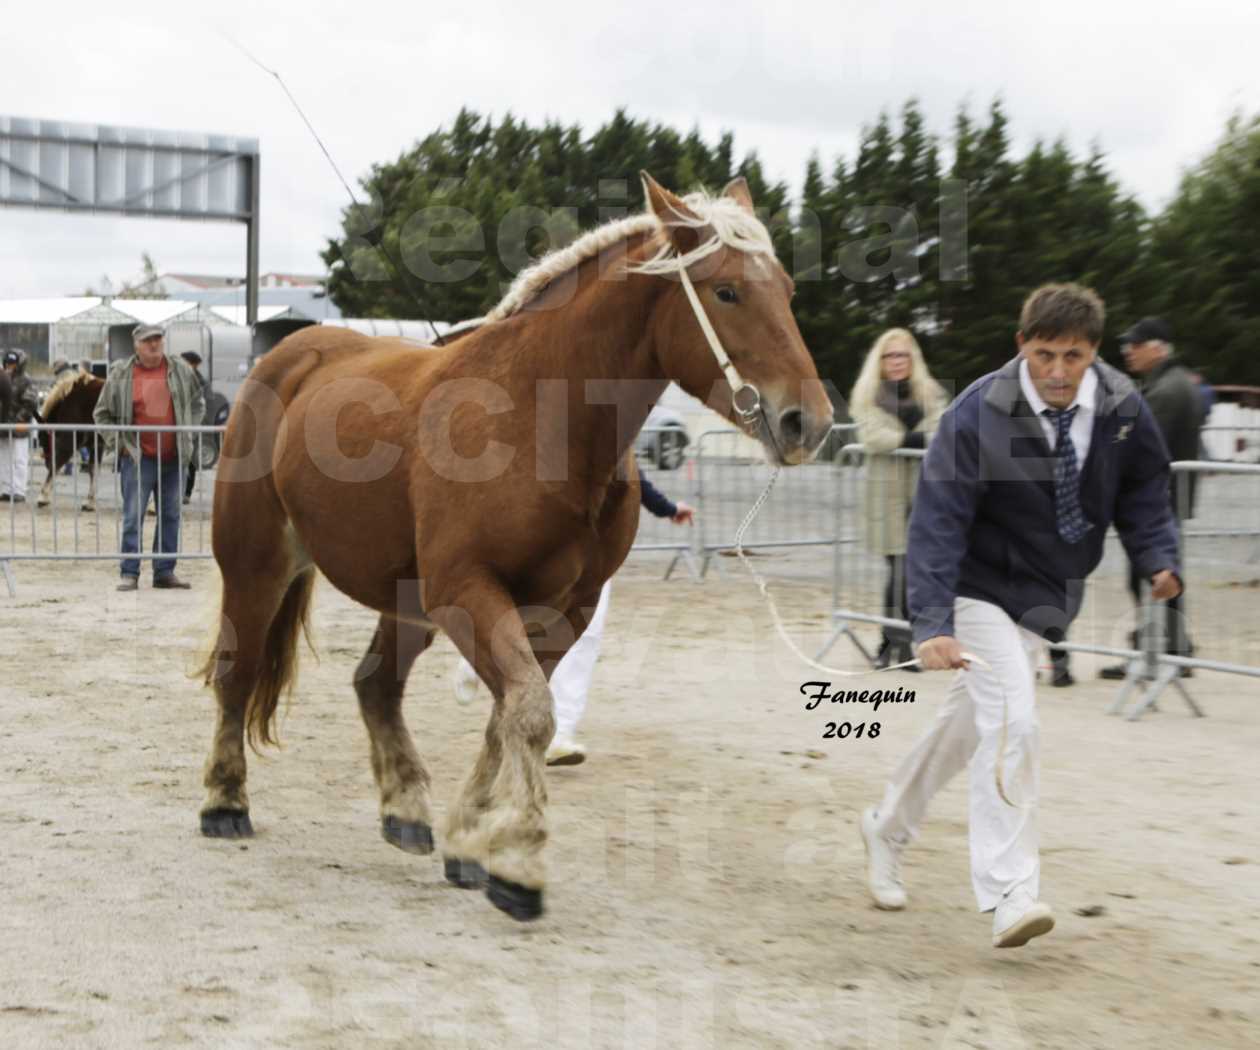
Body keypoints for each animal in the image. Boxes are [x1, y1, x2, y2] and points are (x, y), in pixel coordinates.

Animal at [36, 373, 103, 511]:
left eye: (41, 439)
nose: (46, 463)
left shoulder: (68, 441)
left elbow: (57, 464)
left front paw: (43, 497)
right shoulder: (96, 444)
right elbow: (93, 469)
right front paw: (90, 502)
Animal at [199, 171, 836, 917]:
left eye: (787, 289)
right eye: (727, 291)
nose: (808, 422)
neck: (540, 418)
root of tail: (290, 354)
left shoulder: (565, 608)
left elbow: (508, 716)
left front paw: (472, 841)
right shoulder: (468, 592)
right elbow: (529, 713)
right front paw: (521, 862)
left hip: (404, 599)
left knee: (375, 686)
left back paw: (405, 809)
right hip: (256, 566)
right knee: (238, 672)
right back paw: (225, 802)